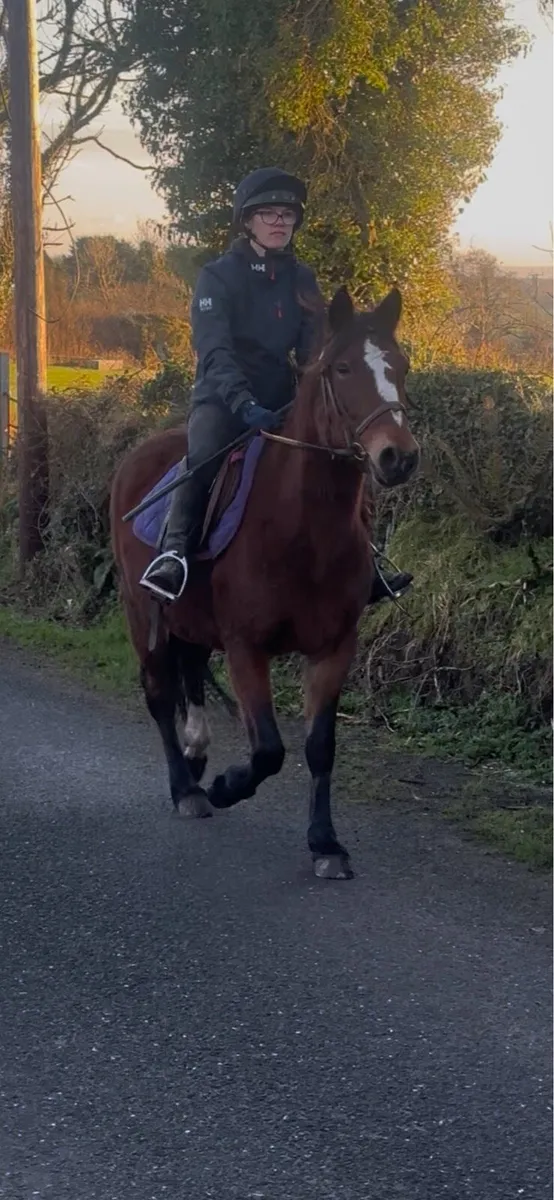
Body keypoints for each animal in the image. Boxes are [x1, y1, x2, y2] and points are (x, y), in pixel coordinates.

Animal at [110, 285, 419, 880]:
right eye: (342, 368)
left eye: (401, 365)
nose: (399, 457)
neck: (304, 533)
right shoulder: (246, 647)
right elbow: (270, 750)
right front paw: (227, 786)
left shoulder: (334, 648)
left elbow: (320, 746)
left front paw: (326, 843)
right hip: (143, 616)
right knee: (160, 694)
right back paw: (188, 788)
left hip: (190, 620)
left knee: (189, 672)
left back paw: (196, 752)